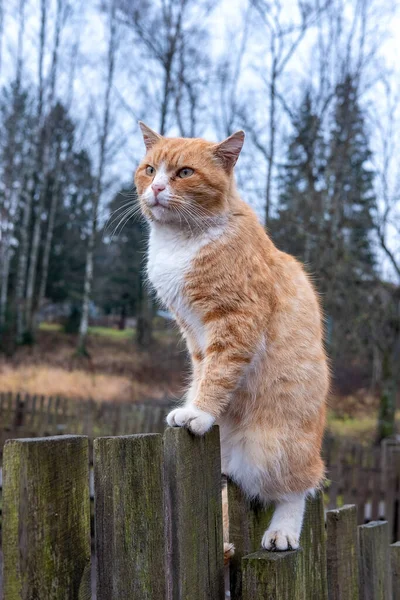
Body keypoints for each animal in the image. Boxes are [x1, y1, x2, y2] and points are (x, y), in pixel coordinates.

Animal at [134, 120, 328, 548]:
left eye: (184, 173)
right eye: (149, 169)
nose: (156, 188)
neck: (180, 243)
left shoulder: (235, 321)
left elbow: (219, 372)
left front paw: (199, 412)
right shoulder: (193, 331)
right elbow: (202, 371)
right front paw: (193, 405)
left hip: (275, 449)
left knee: (297, 488)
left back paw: (282, 531)